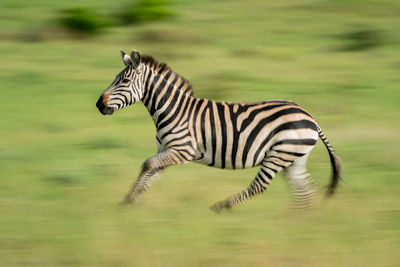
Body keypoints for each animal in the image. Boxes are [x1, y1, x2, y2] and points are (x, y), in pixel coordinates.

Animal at [94, 49, 340, 214]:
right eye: (115, 79)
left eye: (124, 81)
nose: (98, 105)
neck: (173, 109)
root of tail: (310, 117)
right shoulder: (167, 150)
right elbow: (151, 171)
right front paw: (131, 200)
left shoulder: (182, 150)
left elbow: (146, 165)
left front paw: (129, 199)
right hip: (294, 158)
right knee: (305, 190)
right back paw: (299, 223)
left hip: (279, 154)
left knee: (260, 186)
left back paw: (223, 206)